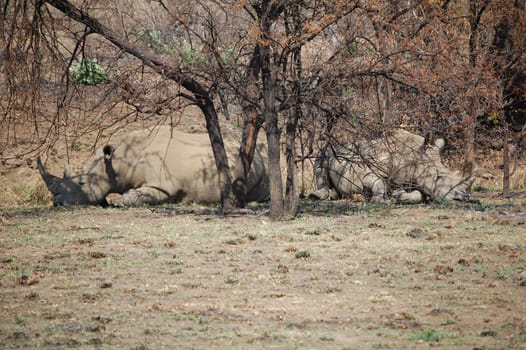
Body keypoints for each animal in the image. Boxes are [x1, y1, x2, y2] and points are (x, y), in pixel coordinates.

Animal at [310, 129, 478, 204]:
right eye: (439, 177)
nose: (465, 197)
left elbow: (420, 195)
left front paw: (399, 196)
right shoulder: (364, 169)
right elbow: (378, 182)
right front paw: (379, 200)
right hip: (329, 152)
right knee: (321, 161)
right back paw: (317, 196)